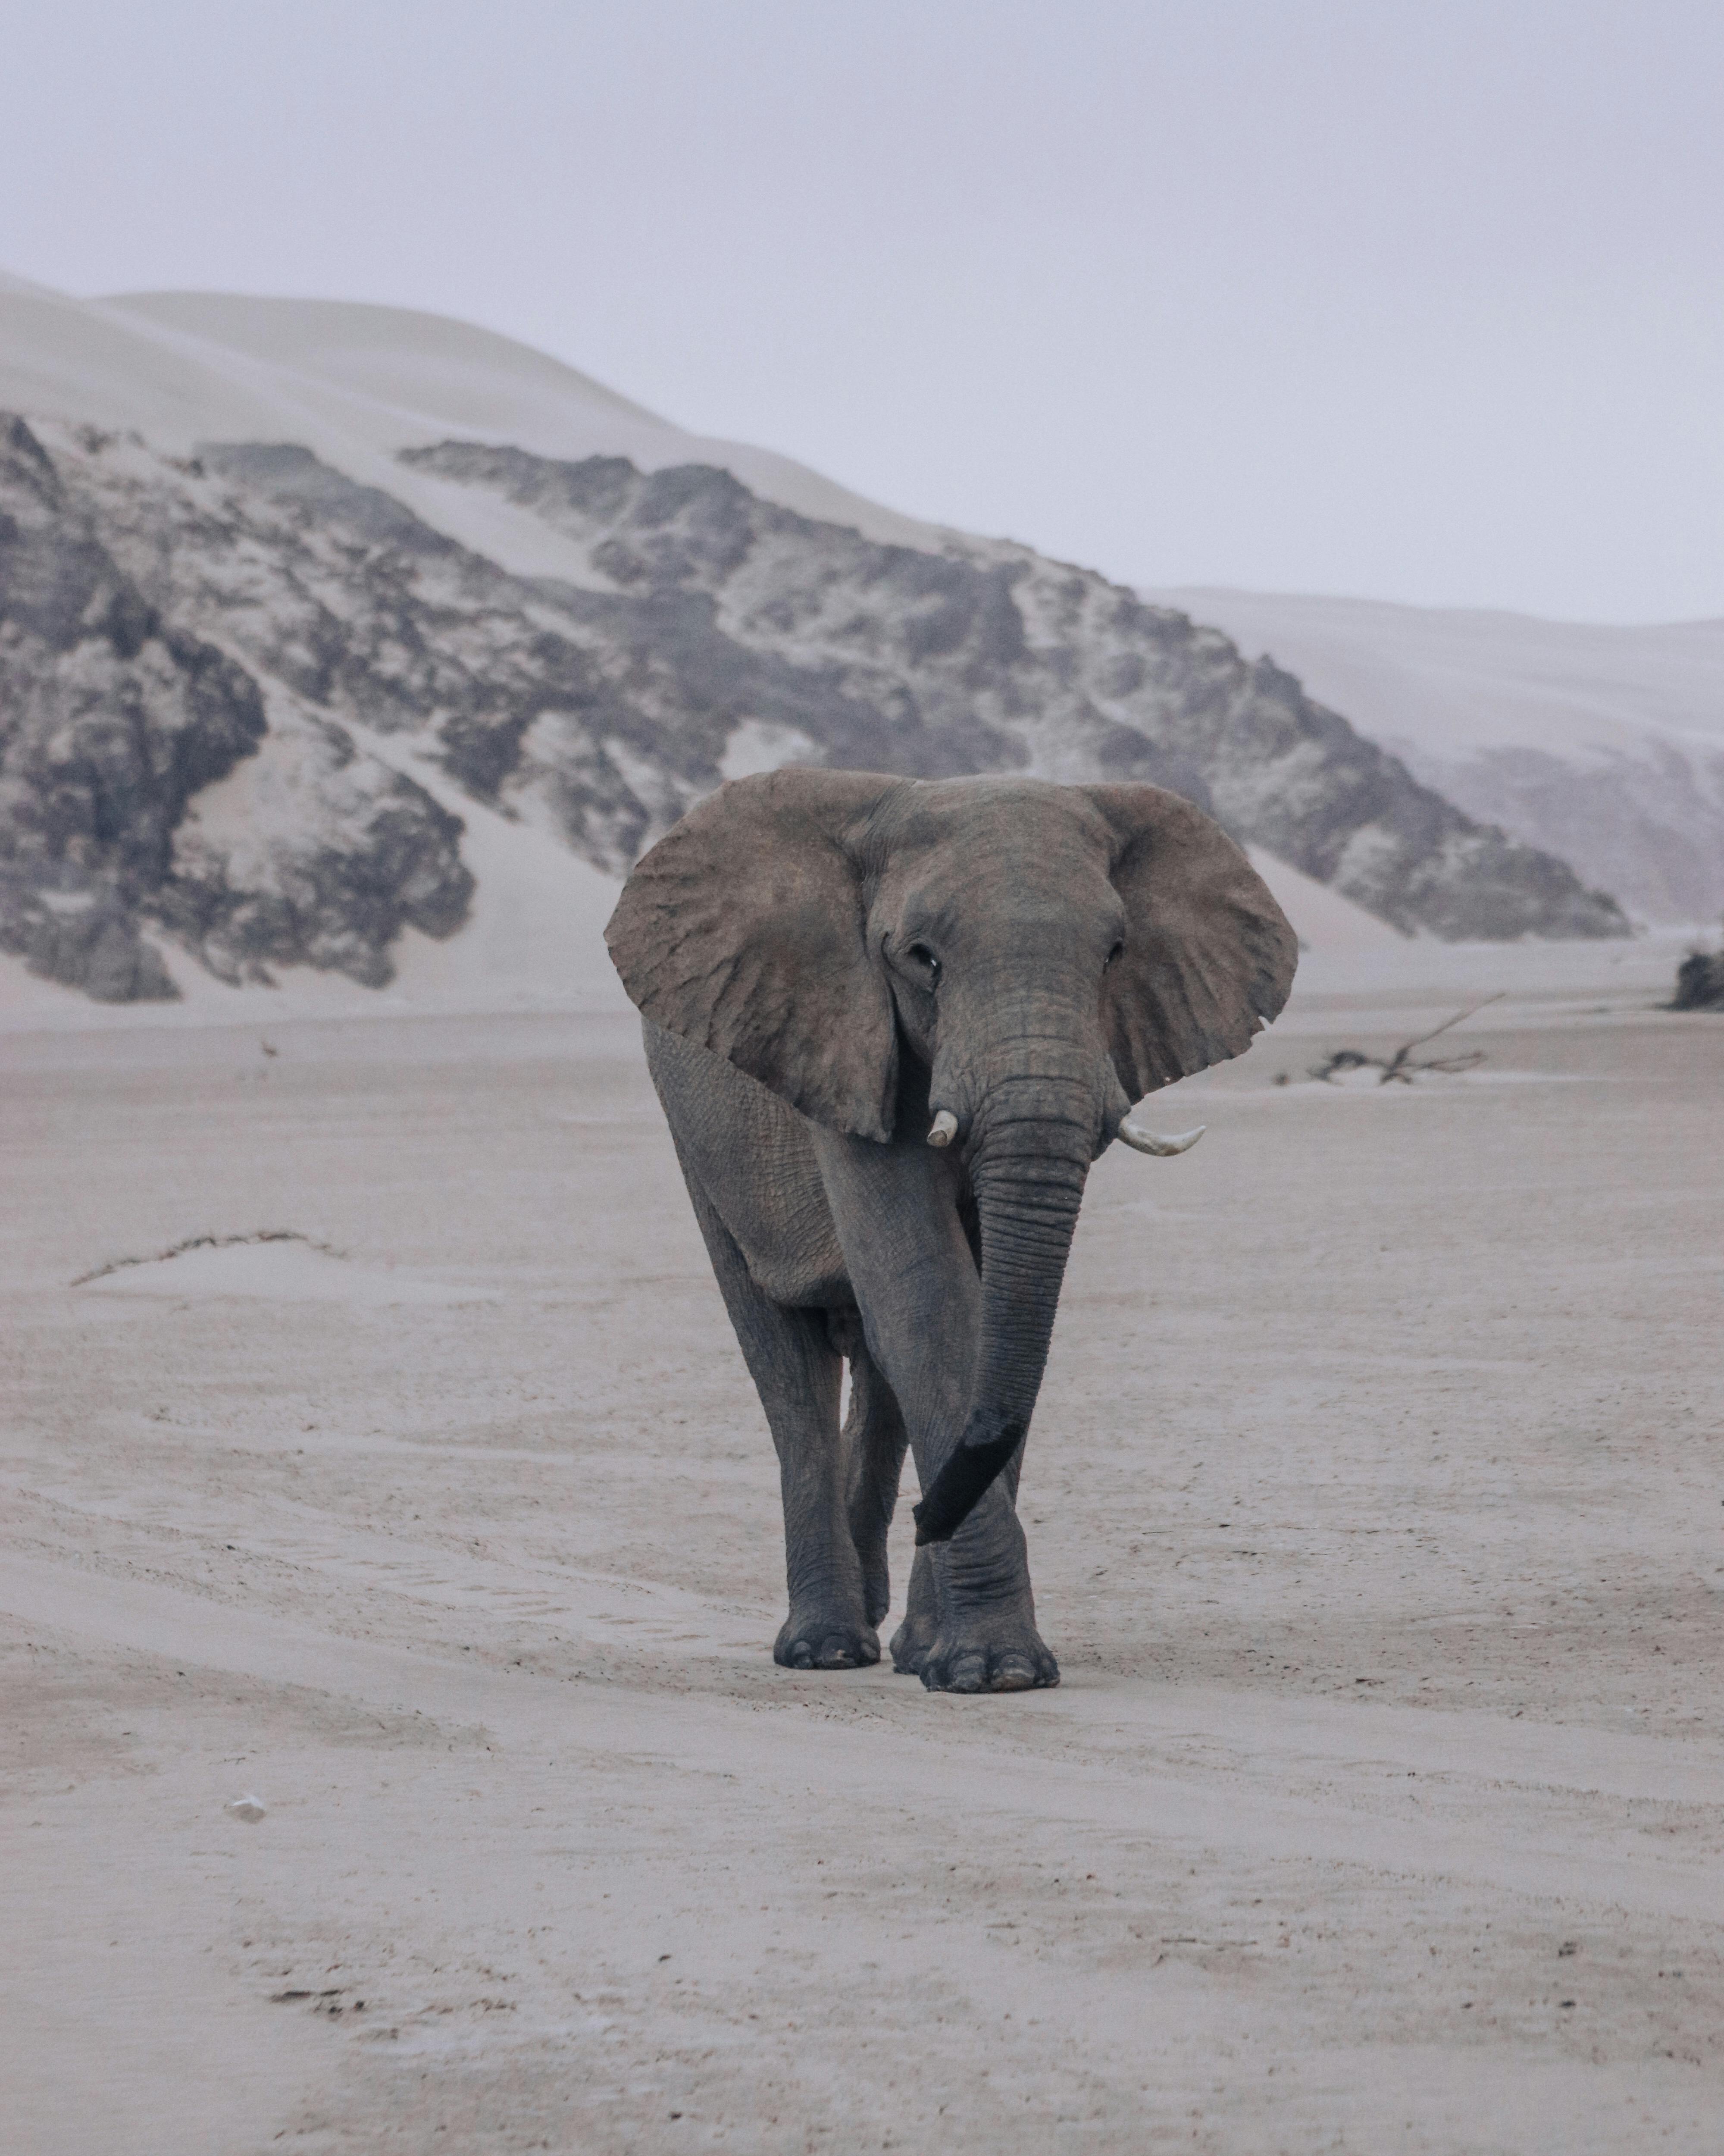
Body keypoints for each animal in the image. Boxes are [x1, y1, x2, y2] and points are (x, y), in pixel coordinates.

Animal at [605, 770, 1296, 1693]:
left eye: (1114, 953)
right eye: (920, 958)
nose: (925, 1516)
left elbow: (987, 1310)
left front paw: (950, 1660)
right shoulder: (845, 1037)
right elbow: (930, 1294)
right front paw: (995, 1672)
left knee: (874, 1371)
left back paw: (884, 1638)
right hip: (696, 1134)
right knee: (784, 1364)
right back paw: (824, 1650)